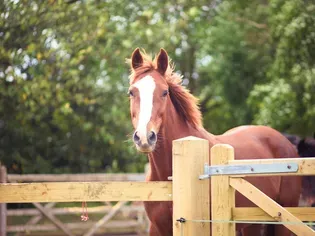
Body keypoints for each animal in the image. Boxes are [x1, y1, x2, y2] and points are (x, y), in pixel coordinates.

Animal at [127, 48, 302, 236]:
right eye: (131, 92)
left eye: (165, 92)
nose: (145, 137)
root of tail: (286, 142)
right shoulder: (157, 229)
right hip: (252, 223)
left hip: (285, 219)